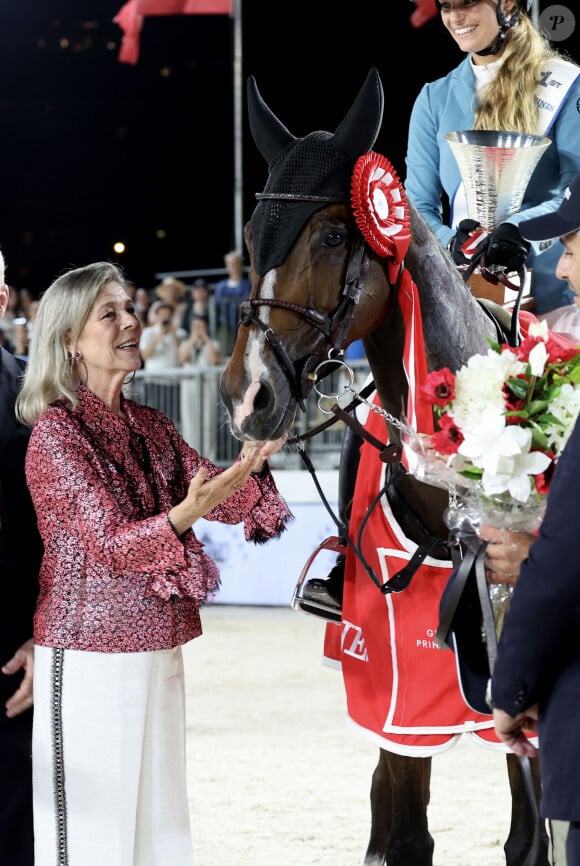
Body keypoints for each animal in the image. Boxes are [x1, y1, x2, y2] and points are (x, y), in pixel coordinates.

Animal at [219, 64, 548, 860]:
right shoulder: (397, 700)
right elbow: (401, 837)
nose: (248, 396)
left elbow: (529, 841)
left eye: (336, 233)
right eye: (249, 235)